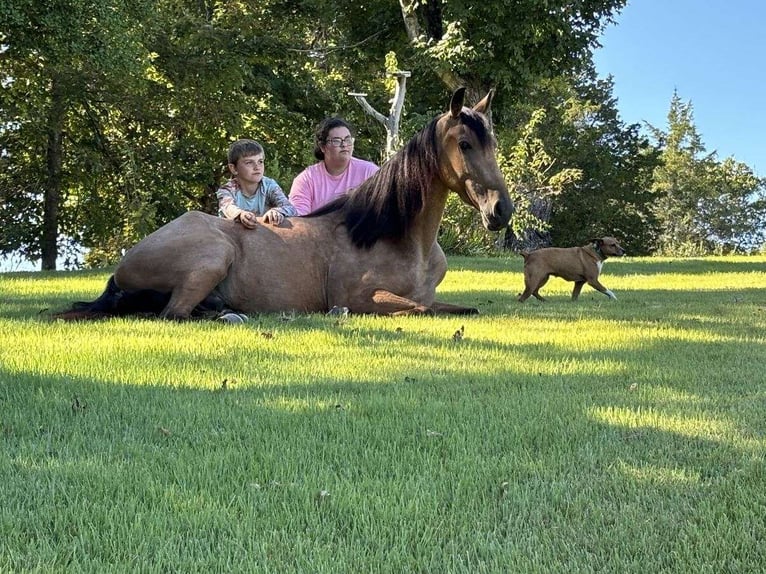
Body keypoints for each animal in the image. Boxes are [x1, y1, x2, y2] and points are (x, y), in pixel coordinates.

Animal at [55, 87, 516, 320]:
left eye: (492, 141)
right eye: (464, 143)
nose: (502, 211)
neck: (396, 238)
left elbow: (461, 307)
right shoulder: (361, 298)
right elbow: (418, 308)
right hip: (212, 257)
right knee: (174, 313)